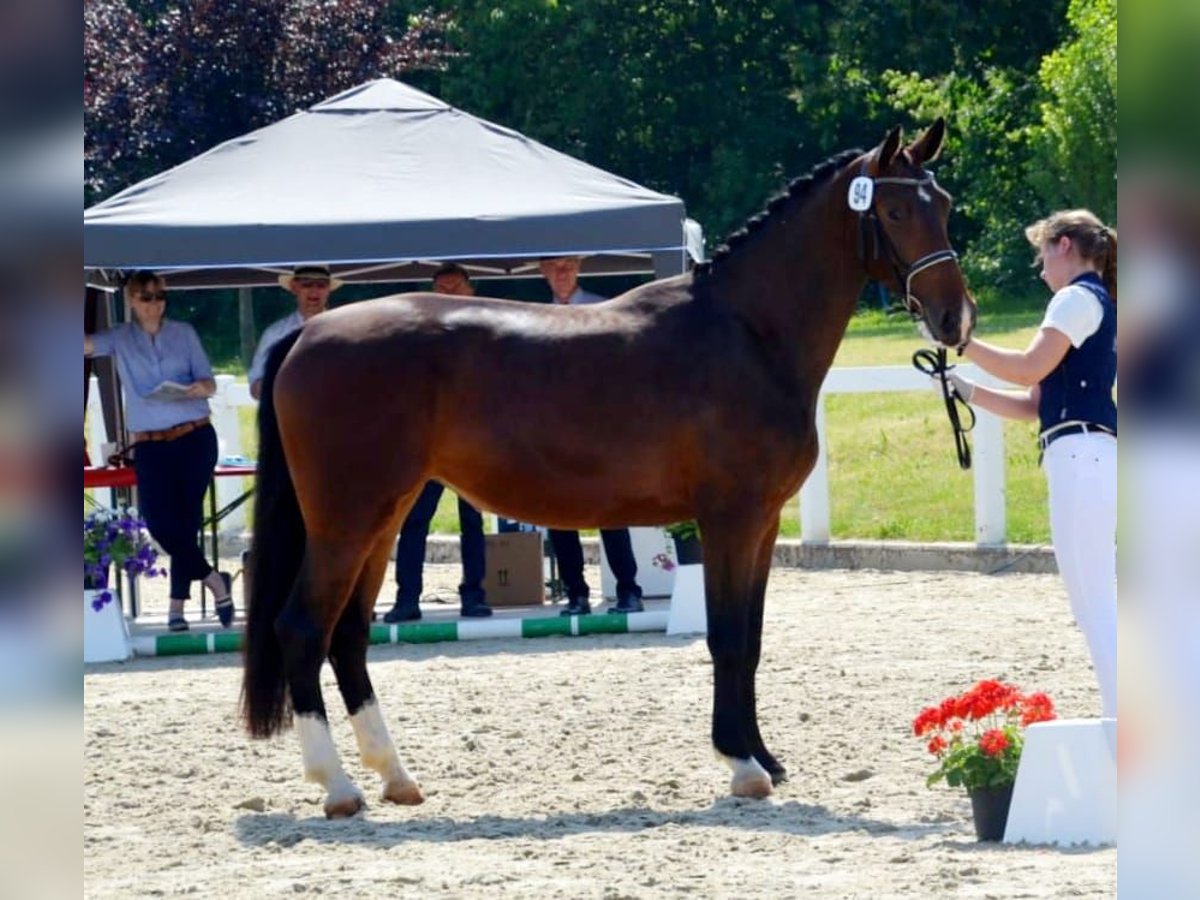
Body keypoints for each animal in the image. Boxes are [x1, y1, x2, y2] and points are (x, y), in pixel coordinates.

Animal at [241, 118, 974, 816]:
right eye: (896, 212)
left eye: (944, 205)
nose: (955, 319)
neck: (746, 332)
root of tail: (308, 333)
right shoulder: (729, 520)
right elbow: (727, 637)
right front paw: (742, 765)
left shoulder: (763, 524)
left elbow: (754, 638)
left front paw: (766, 756)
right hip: (345, 522)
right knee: (302, 628)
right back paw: (338, 787)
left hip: (383, 518)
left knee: (348, 635)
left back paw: (395, 777)